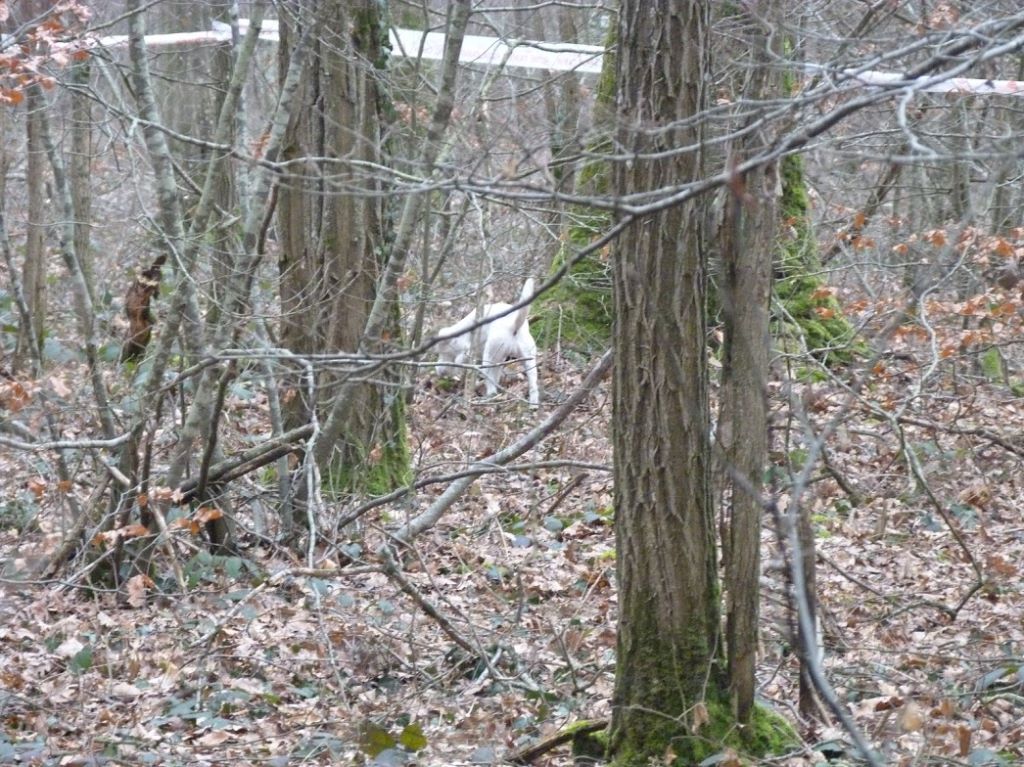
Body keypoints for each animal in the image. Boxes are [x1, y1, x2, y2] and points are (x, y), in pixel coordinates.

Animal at [434, 276, 540, 407]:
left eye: (442, 353)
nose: (439, 372)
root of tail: (513, 326)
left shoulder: (465, 351)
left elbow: (458, 364)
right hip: (527, 359)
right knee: (533, 385)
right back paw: (533, 405)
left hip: (489, 358)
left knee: (490, 382)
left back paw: (488, 398)